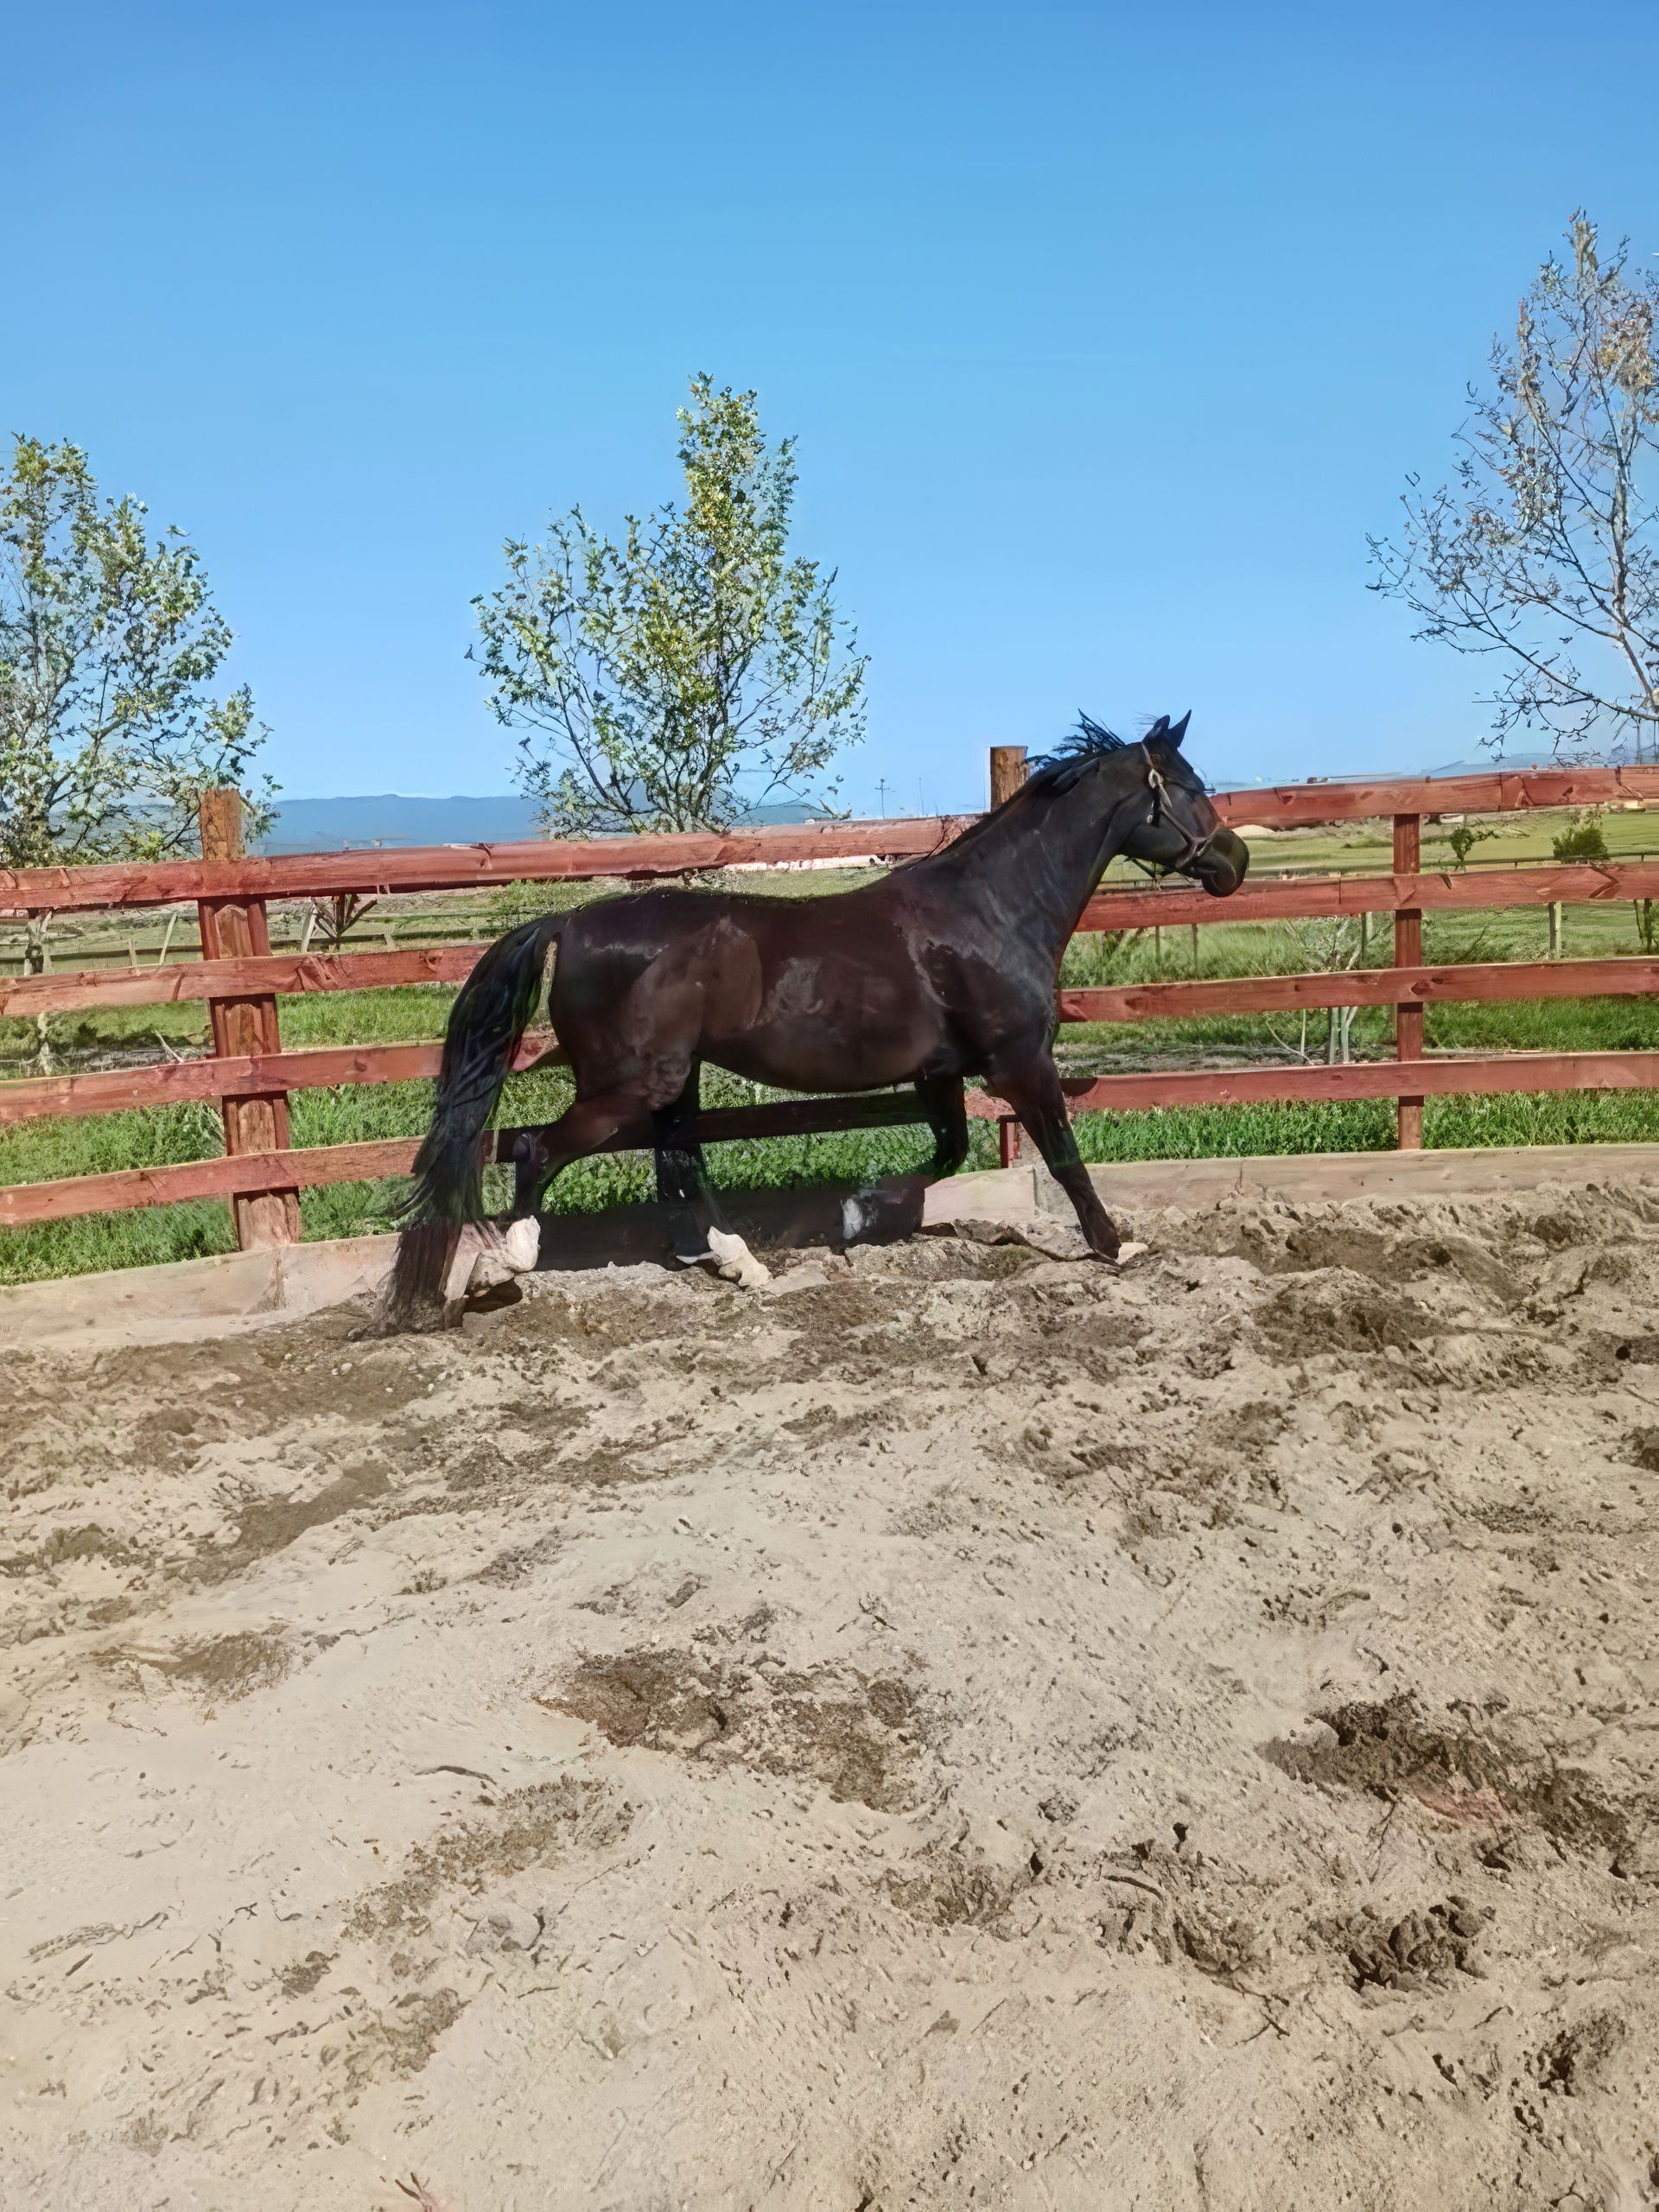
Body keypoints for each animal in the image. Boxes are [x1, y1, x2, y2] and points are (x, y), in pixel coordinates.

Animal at [384, 712, 1248, 1323]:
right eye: (1189, 785)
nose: (1233, 862)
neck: (991, 911)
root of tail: (568, 922)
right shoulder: (1018, 1062)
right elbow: (1065, 1159)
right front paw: (1117, 1246)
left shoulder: (939, 1073)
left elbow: (949, 1152)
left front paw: (860, 1213)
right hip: (629, 1084)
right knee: (538, 1149)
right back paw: (505, 1265)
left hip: (673, 1079)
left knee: (680, 1163)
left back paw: (744, 1263)